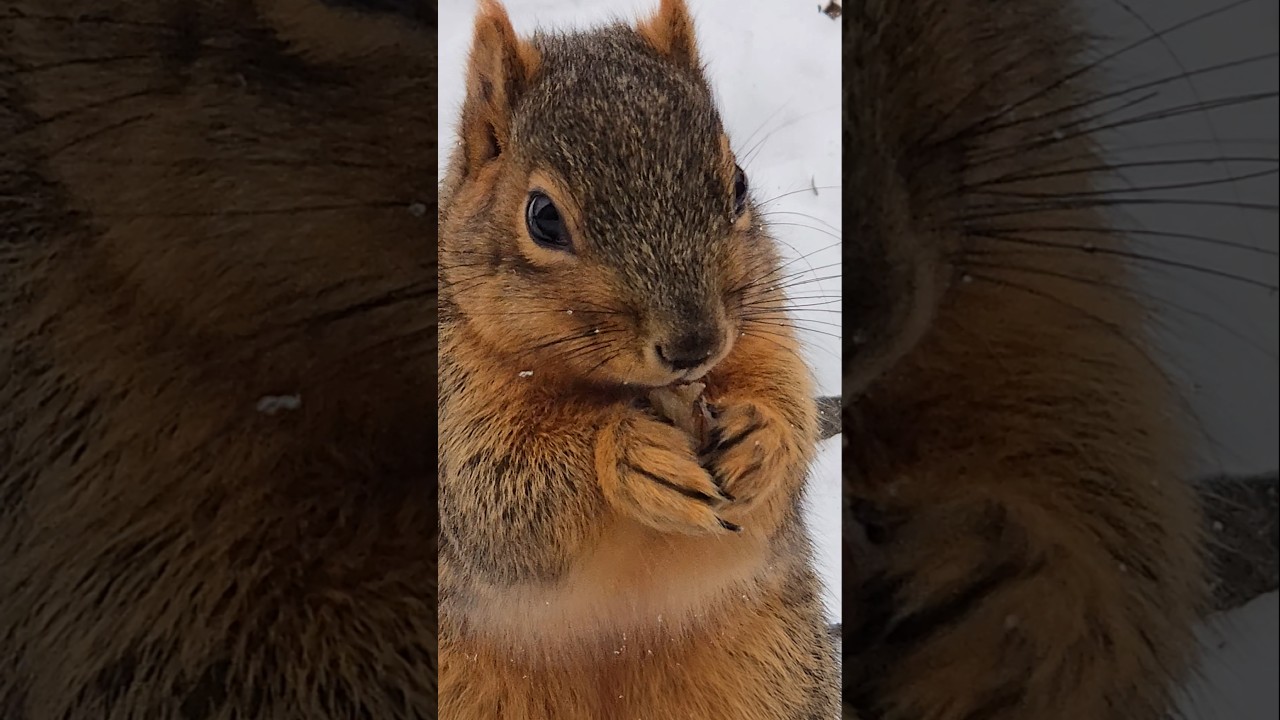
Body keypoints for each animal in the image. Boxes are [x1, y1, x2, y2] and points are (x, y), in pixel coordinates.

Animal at [437, 1, 840, 718]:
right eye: (542, 217)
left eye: (739, 186)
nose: (694, 345)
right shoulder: (450, 399)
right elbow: (491, 489)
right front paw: (623, 454)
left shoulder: (761, 321)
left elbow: (782, 395)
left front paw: (765, 435)